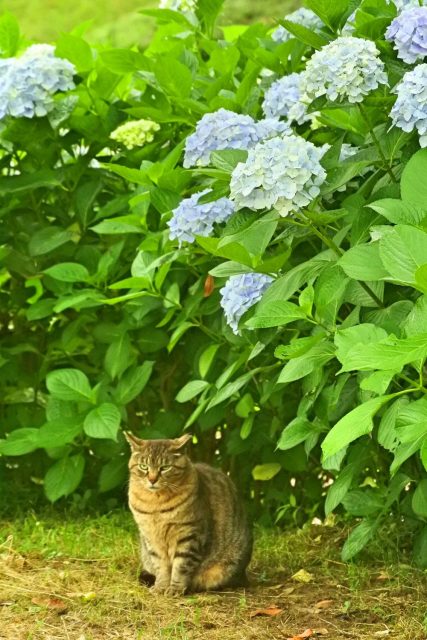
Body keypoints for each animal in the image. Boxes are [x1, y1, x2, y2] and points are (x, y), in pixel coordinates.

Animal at [123, 432, 252, 596]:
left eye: (165, 468)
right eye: (143, 466)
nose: (152, 479)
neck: (156, 503)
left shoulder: (189, 535)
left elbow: (181, 566)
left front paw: (175, 589)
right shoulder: (151, 537)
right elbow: (160, 566)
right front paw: (161, 586)